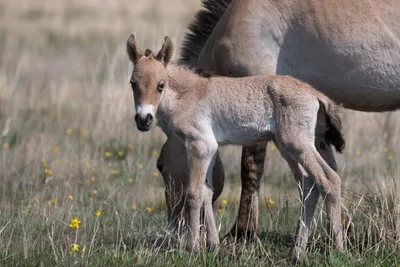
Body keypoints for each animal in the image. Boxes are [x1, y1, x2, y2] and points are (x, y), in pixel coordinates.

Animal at [127, 34, 346, 262]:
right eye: (133, 83)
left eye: (160, 85)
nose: (143, 120)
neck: (187, 93)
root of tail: (316, 94)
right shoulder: (212, 148)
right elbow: (207, 192)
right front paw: (213, 246)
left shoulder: (199, 145)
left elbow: (194, 193)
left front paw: (192, 249)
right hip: (287, 148)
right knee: (308, 186)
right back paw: (297, 253)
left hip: (297, 144)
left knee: (329, 180)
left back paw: (338, 249)